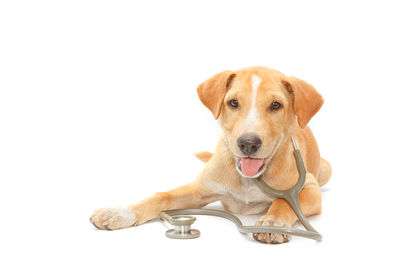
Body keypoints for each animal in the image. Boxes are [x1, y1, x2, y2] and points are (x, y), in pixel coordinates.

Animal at [90, 66, 332, 245]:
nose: (248, 144)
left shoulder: (309, 189)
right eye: (233, 103)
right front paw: (120, 212)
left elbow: (284, 202)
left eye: (275, 105)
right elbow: (161, 196)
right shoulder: (199, 189)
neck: (249, 180)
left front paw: (272, 221)